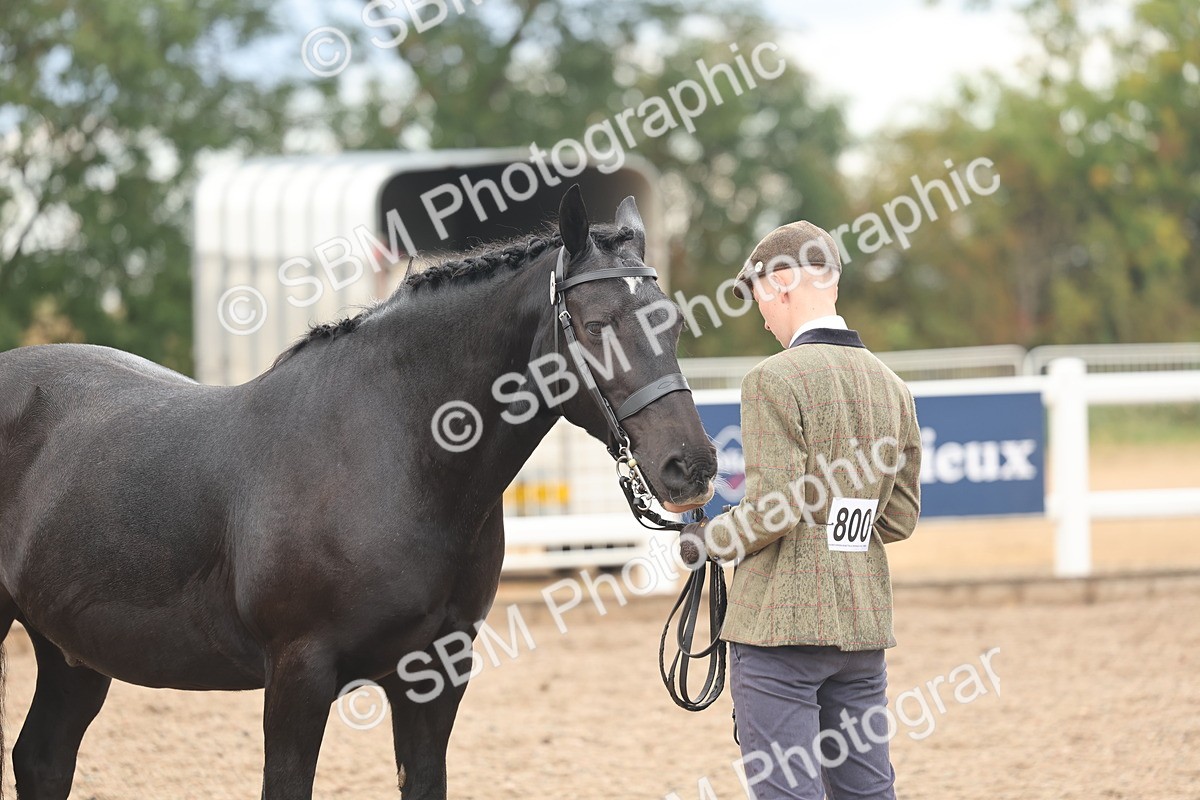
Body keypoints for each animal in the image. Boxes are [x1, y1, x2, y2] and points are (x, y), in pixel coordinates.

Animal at [0, 185, 718, 799]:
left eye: (673, 323)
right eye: (596, 324)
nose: (691, 466)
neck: (394, 456)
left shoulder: (436, 674)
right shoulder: (298, 675)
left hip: (73, 653)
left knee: (42, 759)